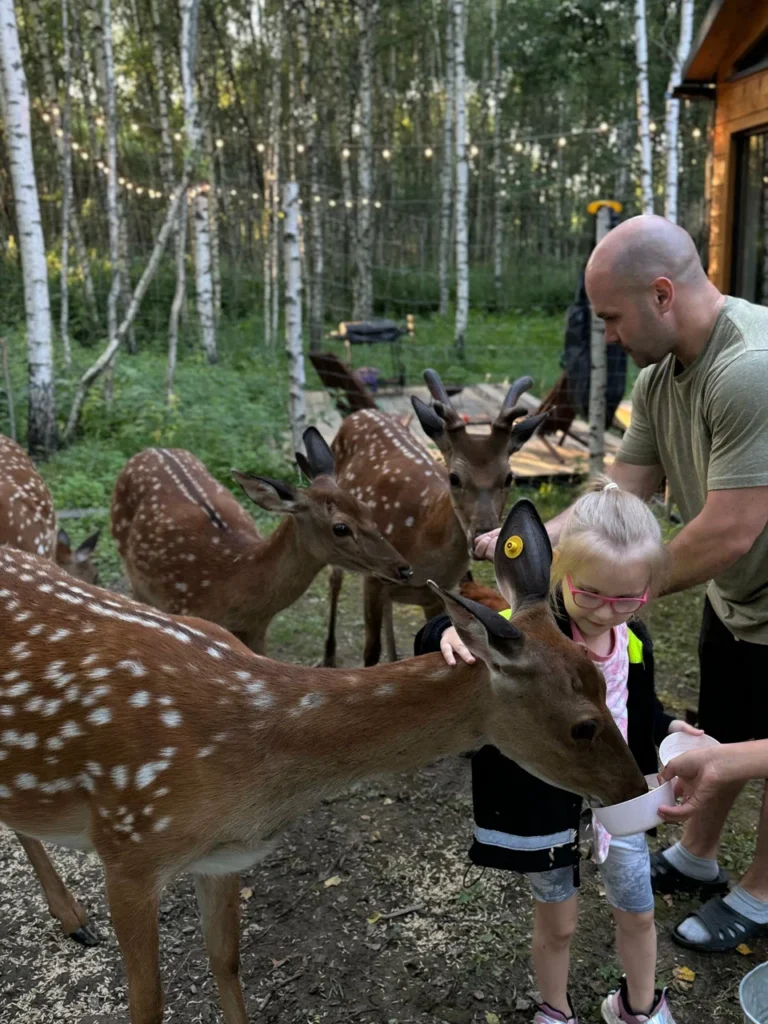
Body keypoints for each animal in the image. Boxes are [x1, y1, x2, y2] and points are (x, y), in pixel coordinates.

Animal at [0, 497, 651, 1024]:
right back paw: (74, 917)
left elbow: (226, 961)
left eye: (605, 684)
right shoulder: (129, 847)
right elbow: (148, 1004)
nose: (634, 788)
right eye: (583, 725)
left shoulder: (222, 856)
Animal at [110, 425, 411, 651]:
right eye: (340, 528)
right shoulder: (184, 608)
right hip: (133, 573)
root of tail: (152, 449)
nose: (404, 568)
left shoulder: (258, 629)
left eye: (367, 508)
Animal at [325, 368, 548, 663]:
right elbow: (370, 651)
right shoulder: (372, 578)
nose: (481, 533)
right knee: (334, 580)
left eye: (509, 477)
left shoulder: (435, 594)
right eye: (453, 477)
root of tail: (359, 413)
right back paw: (328, 655)